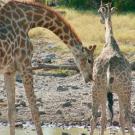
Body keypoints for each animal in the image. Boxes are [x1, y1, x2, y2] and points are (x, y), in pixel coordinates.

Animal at [0, 0, 96, 135]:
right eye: (89, 60)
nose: (90, 77)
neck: (29, 20)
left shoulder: (9, 70)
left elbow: (11, 112)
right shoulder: (25, 65)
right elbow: (34, 110)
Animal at [89, 2, 134, 135]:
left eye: (99, 11)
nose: (101, 20)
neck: (110, 43)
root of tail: (109, 64)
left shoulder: (109, 91)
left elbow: (109, 118)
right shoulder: (117, 91)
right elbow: (120, 118)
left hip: (99, 88)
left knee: (96, 117)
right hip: (124, 89)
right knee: (126, 116)